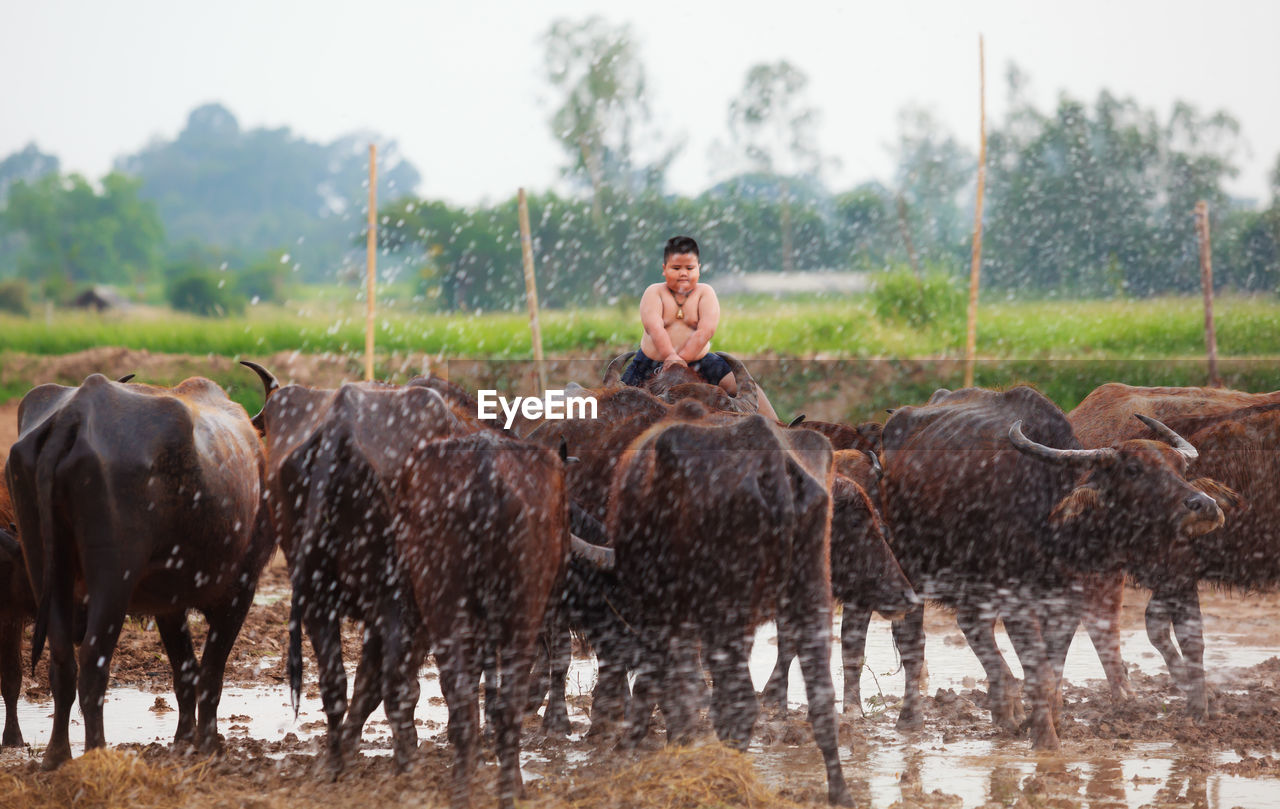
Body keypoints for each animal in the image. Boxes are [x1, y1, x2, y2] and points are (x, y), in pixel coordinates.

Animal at [5, 368, 272, 768]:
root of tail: (74, 414)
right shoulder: (242, 588)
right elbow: (210, 671)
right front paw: (208, 743)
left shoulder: (169, 604)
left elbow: (184, 670)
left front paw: (184, 739)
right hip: (113, 577)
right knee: (93, 663)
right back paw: (96, 751)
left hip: (42, 563)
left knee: (63, 661)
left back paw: (57, 755)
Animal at [880, 386, 1218, 752]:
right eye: (1133, 470)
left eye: (1180, 467)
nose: (1206, 505)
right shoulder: (1017, 602)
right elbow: (1040, 673)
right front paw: (1046, 741)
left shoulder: (1067, 604)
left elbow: (1054, 671)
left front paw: (1047, 722)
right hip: (910, 569)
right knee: (914, 644)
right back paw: (910, 718)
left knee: (974, 626)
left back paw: (1006, 710)